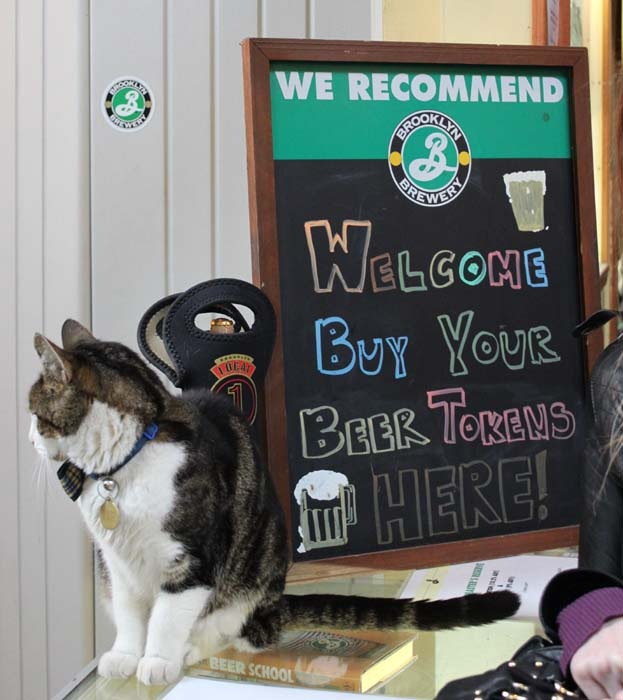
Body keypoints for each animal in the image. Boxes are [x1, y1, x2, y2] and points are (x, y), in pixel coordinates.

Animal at [29, 319, 519, 686]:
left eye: (34, 412)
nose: (30, 439)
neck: (125, 465)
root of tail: (275, 600)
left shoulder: (194, 559)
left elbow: (167, 615)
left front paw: (158, 661)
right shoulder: (116, 563)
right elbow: (132, 615)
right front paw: (126, 656)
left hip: (251, 580)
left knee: (241, 630)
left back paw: (194, 646)